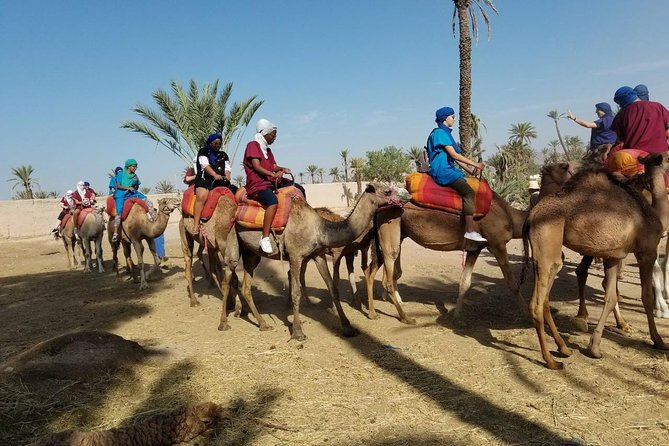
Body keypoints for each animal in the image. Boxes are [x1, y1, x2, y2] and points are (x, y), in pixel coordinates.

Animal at [180, 193, 272, 332]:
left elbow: (233, 279)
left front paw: (238, 308)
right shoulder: (227, 249)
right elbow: (232, 279)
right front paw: (237, 309)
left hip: (211, 246)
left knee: (213, 269)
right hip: (185, 235)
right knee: (188, 264)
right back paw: (194, 301)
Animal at [235, 183, 402, 340]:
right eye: (387, 191)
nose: (403, 198)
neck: (319, 228)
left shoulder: (319, 255)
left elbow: (333, 286)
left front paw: (348, 327)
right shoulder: (296, 256)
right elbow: (297, 291)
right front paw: (298, 332)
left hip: (251, 253)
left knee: (245, 286)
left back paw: (263, 323)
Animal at [366, 192, 528, 324]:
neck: (510, 216)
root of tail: (380, 209)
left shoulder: (475, 249)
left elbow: (465, 282)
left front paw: (457, 317)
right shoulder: (497, 244)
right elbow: (512, 283)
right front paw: (528, 316)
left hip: (397, 234)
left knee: (376, 269)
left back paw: (375, 312)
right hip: (390, 227)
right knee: (388, 271)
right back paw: (405, 317)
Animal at [524, 153, 668, 370]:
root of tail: (531, 215)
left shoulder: (613, 257)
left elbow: (611, 297)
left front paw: (595, 347)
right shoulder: (647, 251)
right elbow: (646, 296)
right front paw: (658, 340)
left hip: (544, 255)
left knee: (546, 298)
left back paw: (564, 348)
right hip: (548, 246)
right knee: (536, 304)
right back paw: (551, 361)